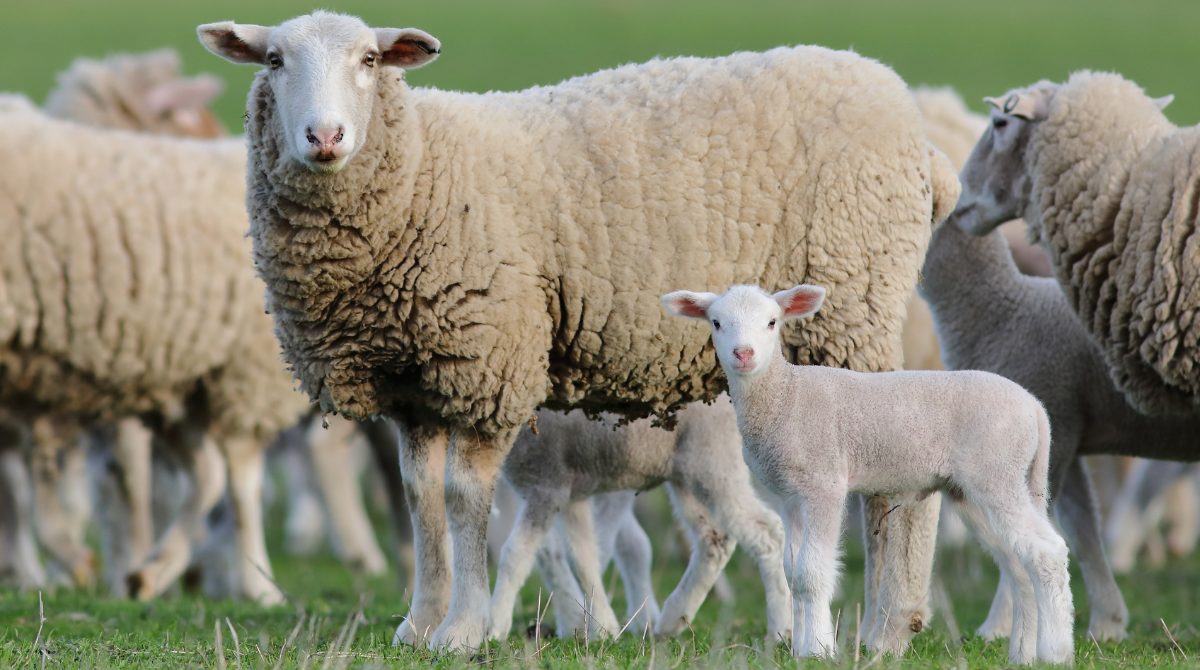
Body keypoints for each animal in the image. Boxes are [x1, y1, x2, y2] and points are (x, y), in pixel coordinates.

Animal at [489, 397, 790, 642]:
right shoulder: (571, 496)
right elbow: (582, 557)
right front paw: (599, 627)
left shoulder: (547, 487)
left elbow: (516, 555)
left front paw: (495, 626)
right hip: (687, 476)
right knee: (715, 538)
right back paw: (673, 618)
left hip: (714, 462)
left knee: (767, 532)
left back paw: (780, 629)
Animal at [662, 283, 1074, 664]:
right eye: (716, 323)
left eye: (772, 322)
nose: (743, 354)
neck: (785, 395)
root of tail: (1034, 408)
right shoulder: (789, 497)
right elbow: (793, 573)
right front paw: (800, 648)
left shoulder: (823, 483)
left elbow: (812, 572)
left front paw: (819, 649)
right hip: (977, 488)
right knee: (1019, 564)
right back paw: (1022, 653)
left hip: (996, 473)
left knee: (1048, 552)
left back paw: (1055, 652)